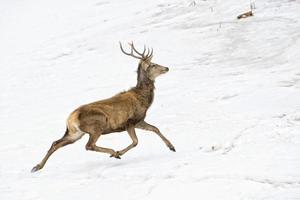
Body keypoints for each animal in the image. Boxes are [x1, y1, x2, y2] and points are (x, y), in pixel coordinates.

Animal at [31, 41, 175, 172]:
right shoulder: (130, 121)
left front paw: (172, 147)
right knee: (89, 145)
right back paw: (114, 153)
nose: (167, 68)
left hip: (75, 133)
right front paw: (118, 152)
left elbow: (155, 128)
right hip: (97, 125)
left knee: (56, 143)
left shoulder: (139, 120)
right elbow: (136, 142)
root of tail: (71, 119)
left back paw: (36, 167)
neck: (143, 99)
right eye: (153, 64)